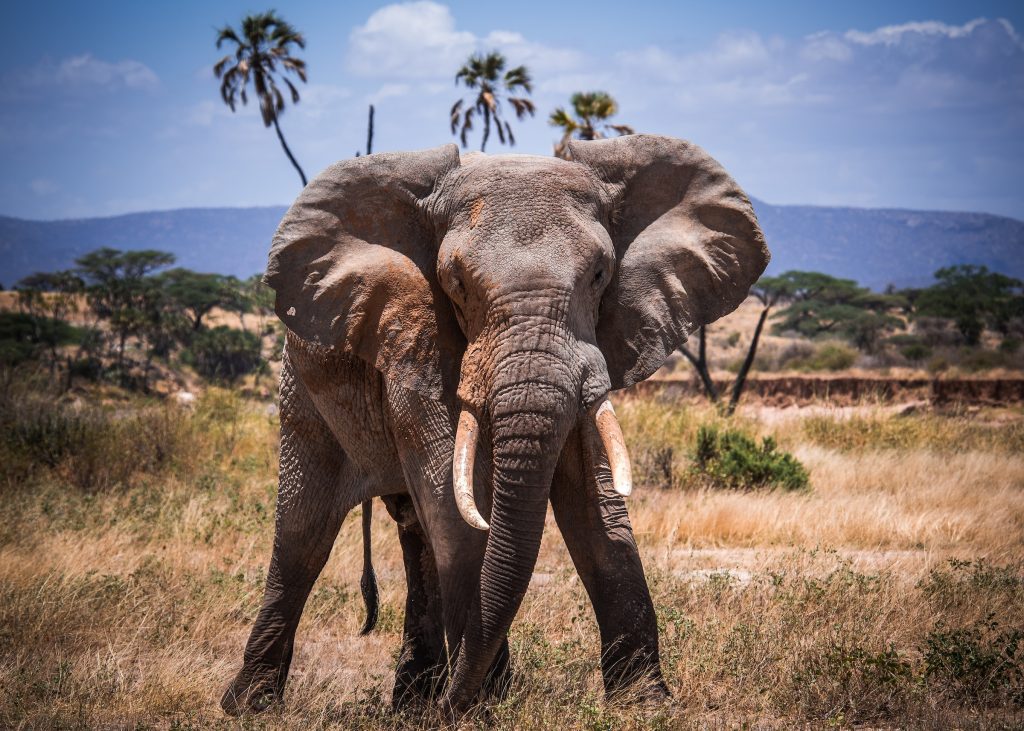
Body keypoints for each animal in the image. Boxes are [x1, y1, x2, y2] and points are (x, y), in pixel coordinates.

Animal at [220, 134, 769, 718]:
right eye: (455, 283)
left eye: (600, 274)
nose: (452, 706)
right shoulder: (415, 337)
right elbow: (456, 506)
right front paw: (479, 707)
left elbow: (598, 513)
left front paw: (644, 705)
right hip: (301, 389)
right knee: (304, 534)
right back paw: (252, 705)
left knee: (415, 535)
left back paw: (412, 702)